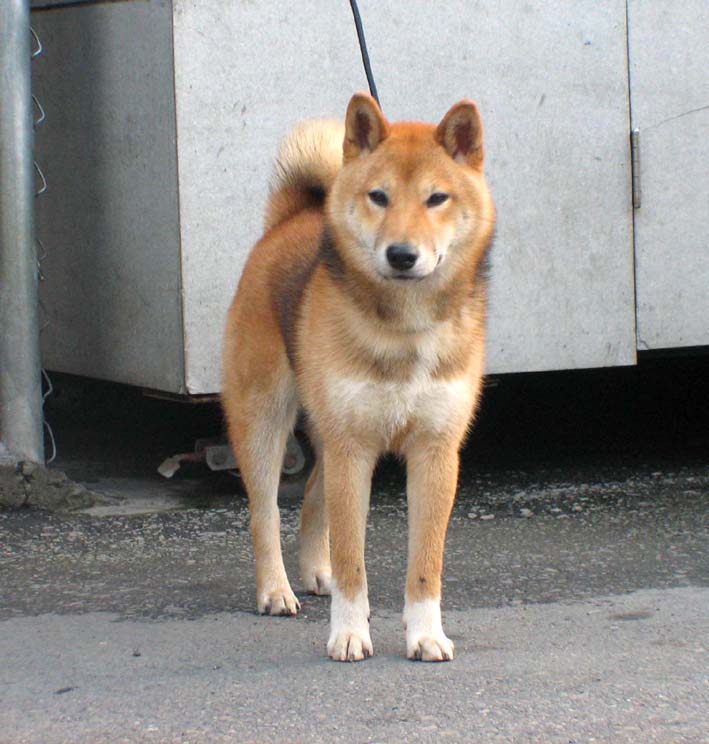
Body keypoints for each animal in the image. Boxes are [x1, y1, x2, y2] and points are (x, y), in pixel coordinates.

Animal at [221, 93, 492, 664]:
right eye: (379, 197)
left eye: (437, 198)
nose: (402, 254)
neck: (405, 329)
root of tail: (292, 219)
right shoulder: (353, 449)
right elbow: (353, 560)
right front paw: (347, 633)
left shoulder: (434, 452)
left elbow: (425, 563)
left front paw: (425, 634)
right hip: (266, 421)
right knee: (264, 512)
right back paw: (276, 589)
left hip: (329, 433)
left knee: (311, 497)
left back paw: (313, 572)